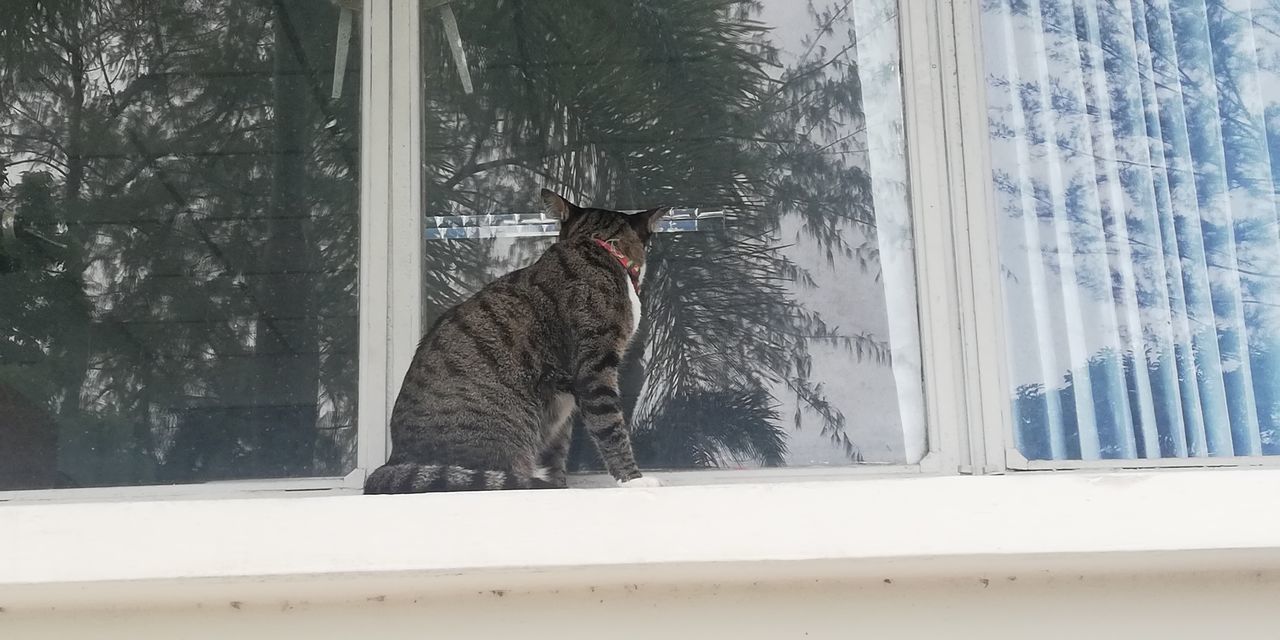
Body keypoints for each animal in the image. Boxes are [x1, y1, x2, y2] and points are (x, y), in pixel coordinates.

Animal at [363, 186, 670, 491]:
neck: (598, 244)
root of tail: (393, 463)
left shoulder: (562, 407)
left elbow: (558, 450)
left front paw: (560, 485)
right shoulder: (593, 368)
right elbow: (610, 428)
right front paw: (634, 480)